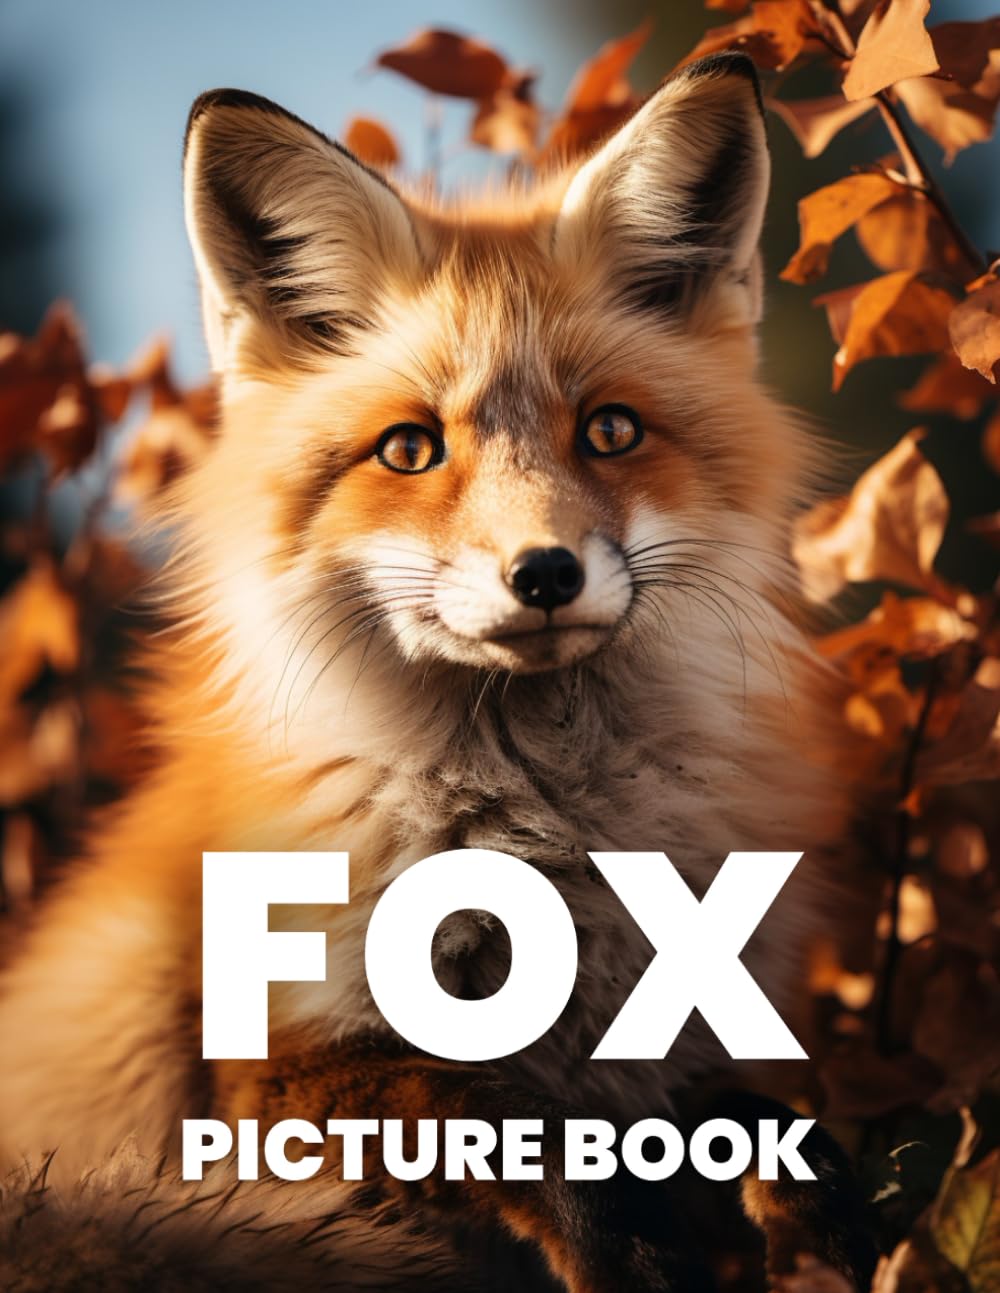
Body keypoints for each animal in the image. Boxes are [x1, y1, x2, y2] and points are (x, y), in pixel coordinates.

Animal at [0, 53, 875, 1292]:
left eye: (609, 431)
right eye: (411, 448)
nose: (545, 572)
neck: (545, 843)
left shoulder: (668, 1033)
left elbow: (723, 1108)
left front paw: (803, 1190)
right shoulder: (270, 1078)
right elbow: (498, 1118)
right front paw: (625, 1251)